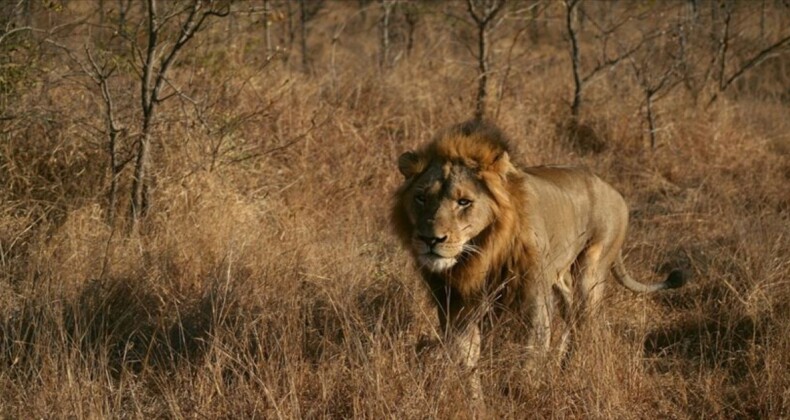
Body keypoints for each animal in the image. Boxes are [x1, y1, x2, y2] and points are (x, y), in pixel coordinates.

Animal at [392, 119, 684, 400]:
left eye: (464, 202)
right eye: (421, 197)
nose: (430, 239)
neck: (482, 254)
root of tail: (613, 190)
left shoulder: (533, 299)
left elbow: (529, 355)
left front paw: (520, 397)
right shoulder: (456, 304)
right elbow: (466, 358)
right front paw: (475, 402)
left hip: (591, 269)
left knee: (584, 324)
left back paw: (570, 372)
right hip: (559, 276)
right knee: (570, 316)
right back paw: (560, 366)